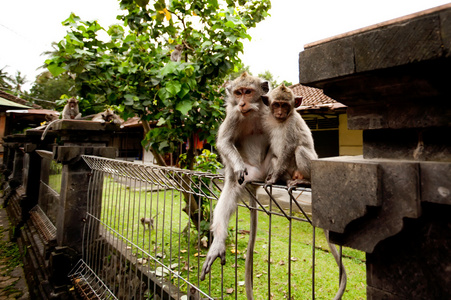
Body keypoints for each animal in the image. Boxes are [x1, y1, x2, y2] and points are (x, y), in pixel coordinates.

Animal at [201, 72, 272, 300]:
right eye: (238, 92)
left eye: (248, 92)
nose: (241, 103)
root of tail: (257, 181)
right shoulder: (233, 115)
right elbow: (224, 142)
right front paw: (238, 165)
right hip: (247, 176)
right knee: (231, 186)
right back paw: (218, 243)